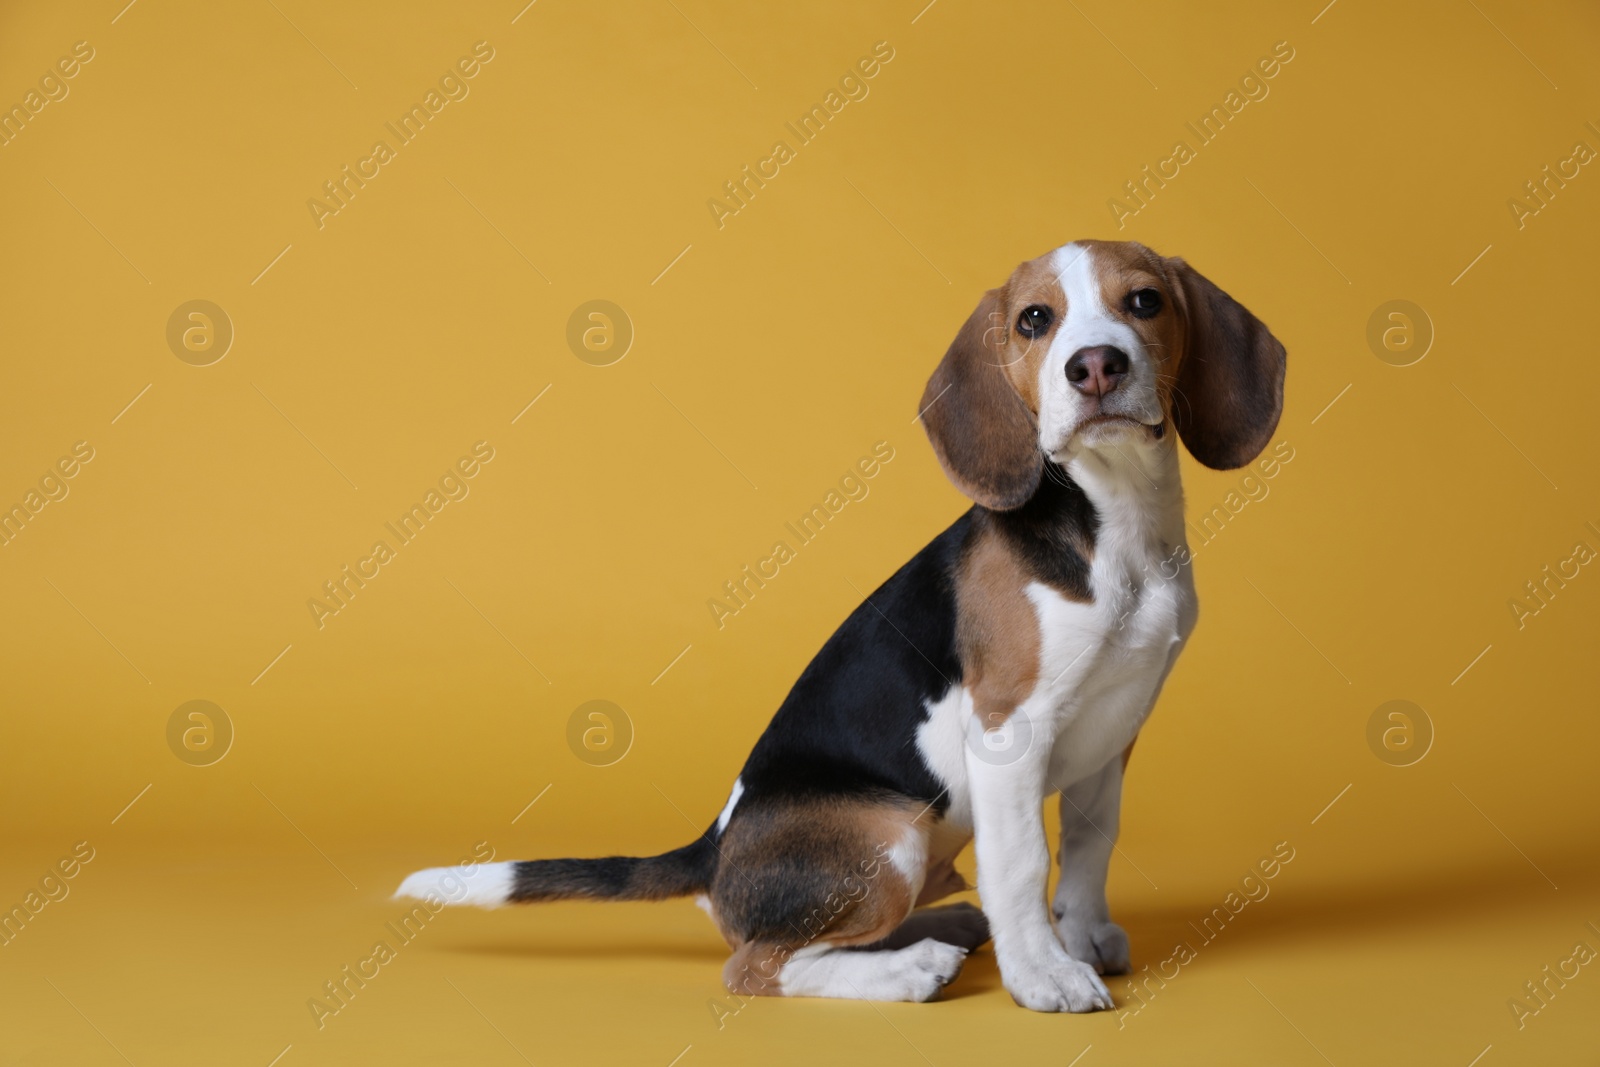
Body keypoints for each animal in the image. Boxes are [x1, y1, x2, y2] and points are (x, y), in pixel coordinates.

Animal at [400, 238, 1286, 1017]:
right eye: (1035, 319)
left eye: (1144, 302)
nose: (1096, 365)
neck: (1116, 523)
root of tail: (713, 848)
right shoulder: (1011, 728)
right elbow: (1022, 862)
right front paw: (1045, 973)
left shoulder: (1115, 726)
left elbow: (1090, 844)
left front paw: (1083, 935)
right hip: (892, 832)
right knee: (758, 964)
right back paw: (910, 968)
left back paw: (946, 928)